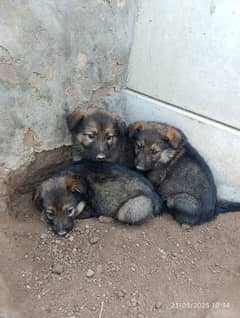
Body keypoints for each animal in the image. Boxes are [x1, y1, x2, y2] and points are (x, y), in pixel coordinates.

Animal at [32, 160, 163, 235]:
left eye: (69, 211)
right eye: (51, 213)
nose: (61, 233)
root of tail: (155, 196)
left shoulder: (89, 210)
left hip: (130, 209)